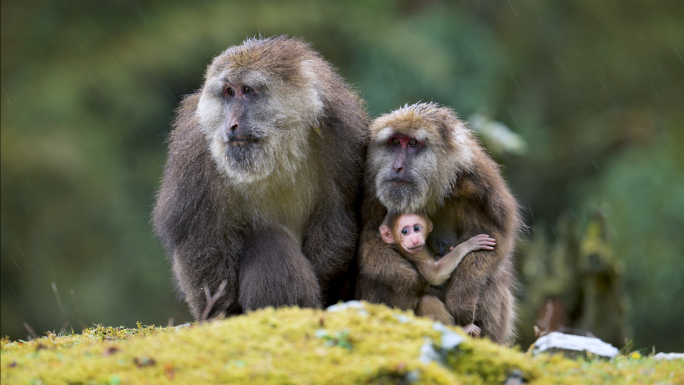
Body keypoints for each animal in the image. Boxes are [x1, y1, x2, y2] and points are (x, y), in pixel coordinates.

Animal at [154, 36, 368, 318]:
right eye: (229, 92)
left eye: (247, 90)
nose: (231, 125)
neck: (279, 150)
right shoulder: (195, 154)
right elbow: (199, 237)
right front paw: (220, 312)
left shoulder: (342, 137)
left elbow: (336, 218)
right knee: (268, 240)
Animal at [356, 101, 520, 342]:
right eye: (395, 142)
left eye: (413, 143)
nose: (397, 167)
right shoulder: (372, 186)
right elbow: (367, 238)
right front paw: (404, 276)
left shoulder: (475, 183)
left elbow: (494, 236)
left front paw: (462, 296)